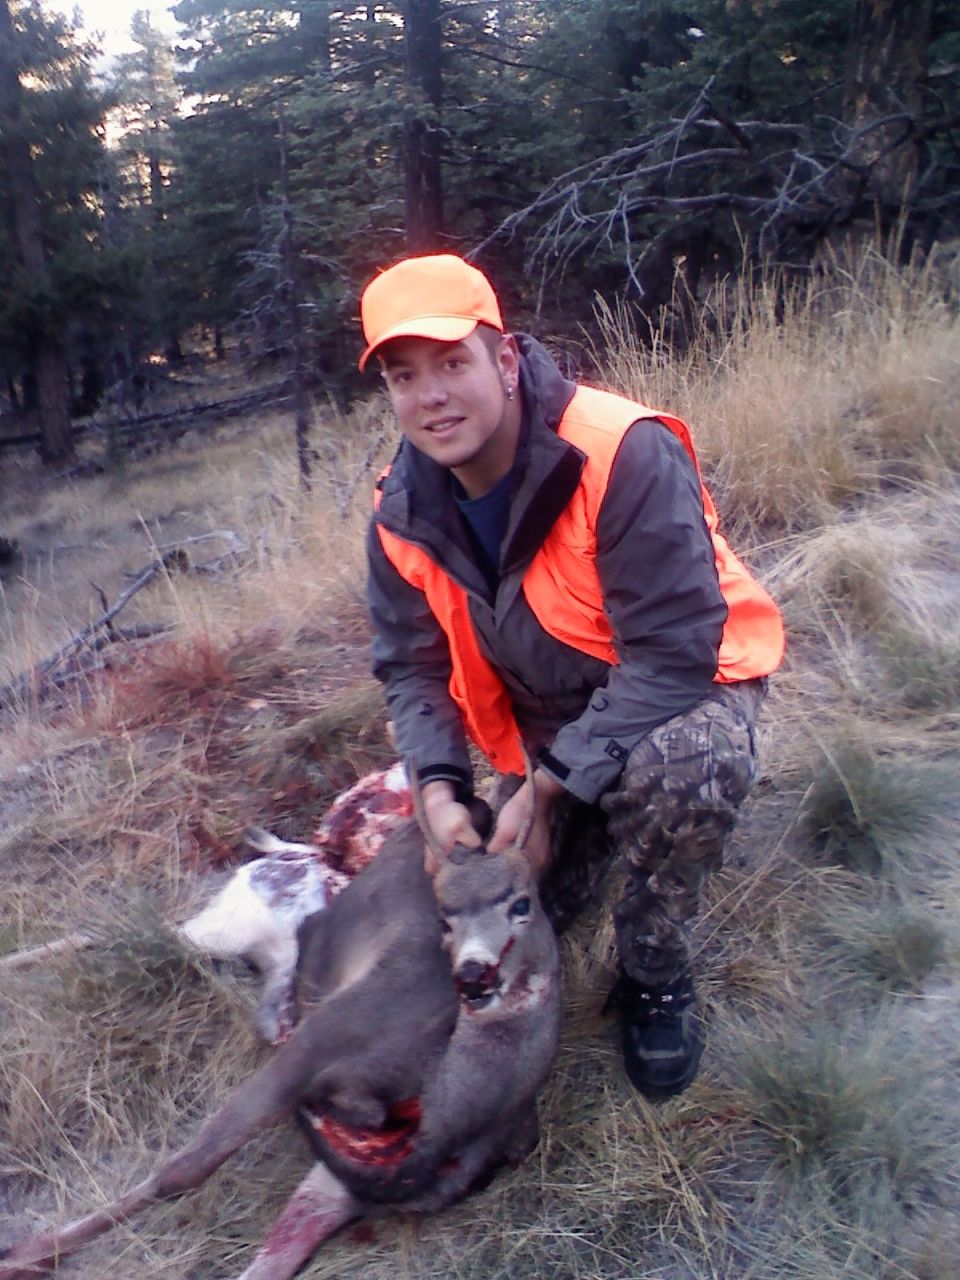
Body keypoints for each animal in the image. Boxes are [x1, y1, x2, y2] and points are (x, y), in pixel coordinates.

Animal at [0, 753, 561, 1280]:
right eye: (445, 916)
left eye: (522, 904)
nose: (475, 976)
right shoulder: (314, 1051)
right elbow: (188, 1171)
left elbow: (254, 1235)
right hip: (241, 941)